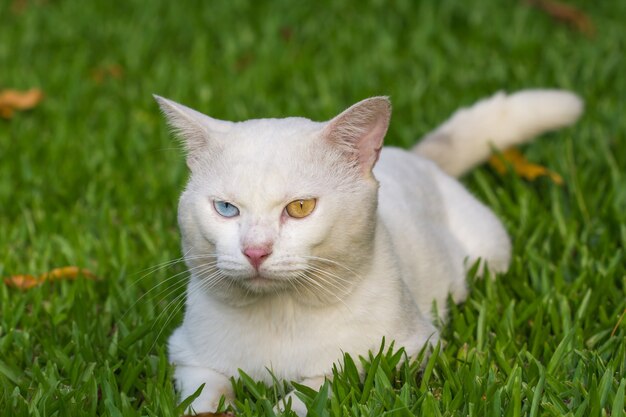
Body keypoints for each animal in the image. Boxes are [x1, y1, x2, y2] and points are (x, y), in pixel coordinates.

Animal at [155, 90, 580, 412]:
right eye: (226, 208)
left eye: (300, 207)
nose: (255, 251)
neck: (281, 316)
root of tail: (414, 156)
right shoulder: (188, 355)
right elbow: (205, 396)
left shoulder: (402, 349)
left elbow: (318, 383)